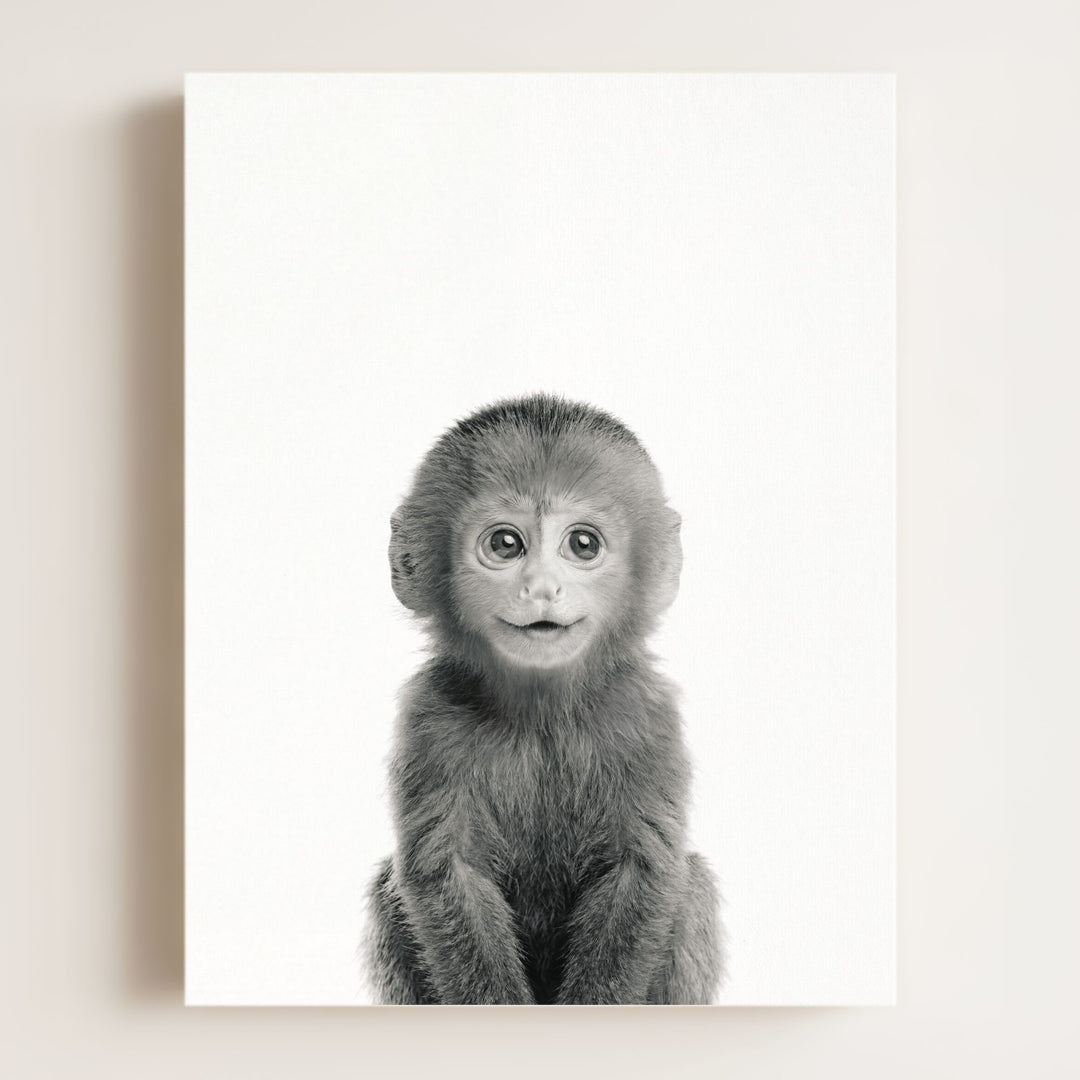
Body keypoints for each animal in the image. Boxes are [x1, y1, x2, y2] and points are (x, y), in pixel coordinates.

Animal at [364, 394, 723, 1005]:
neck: (542, 716)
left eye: (583, 544)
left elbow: (641, 871)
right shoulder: (430, 716)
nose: (541, 588)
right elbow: (447, 874)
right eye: (506, 544)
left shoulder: (647, 713)